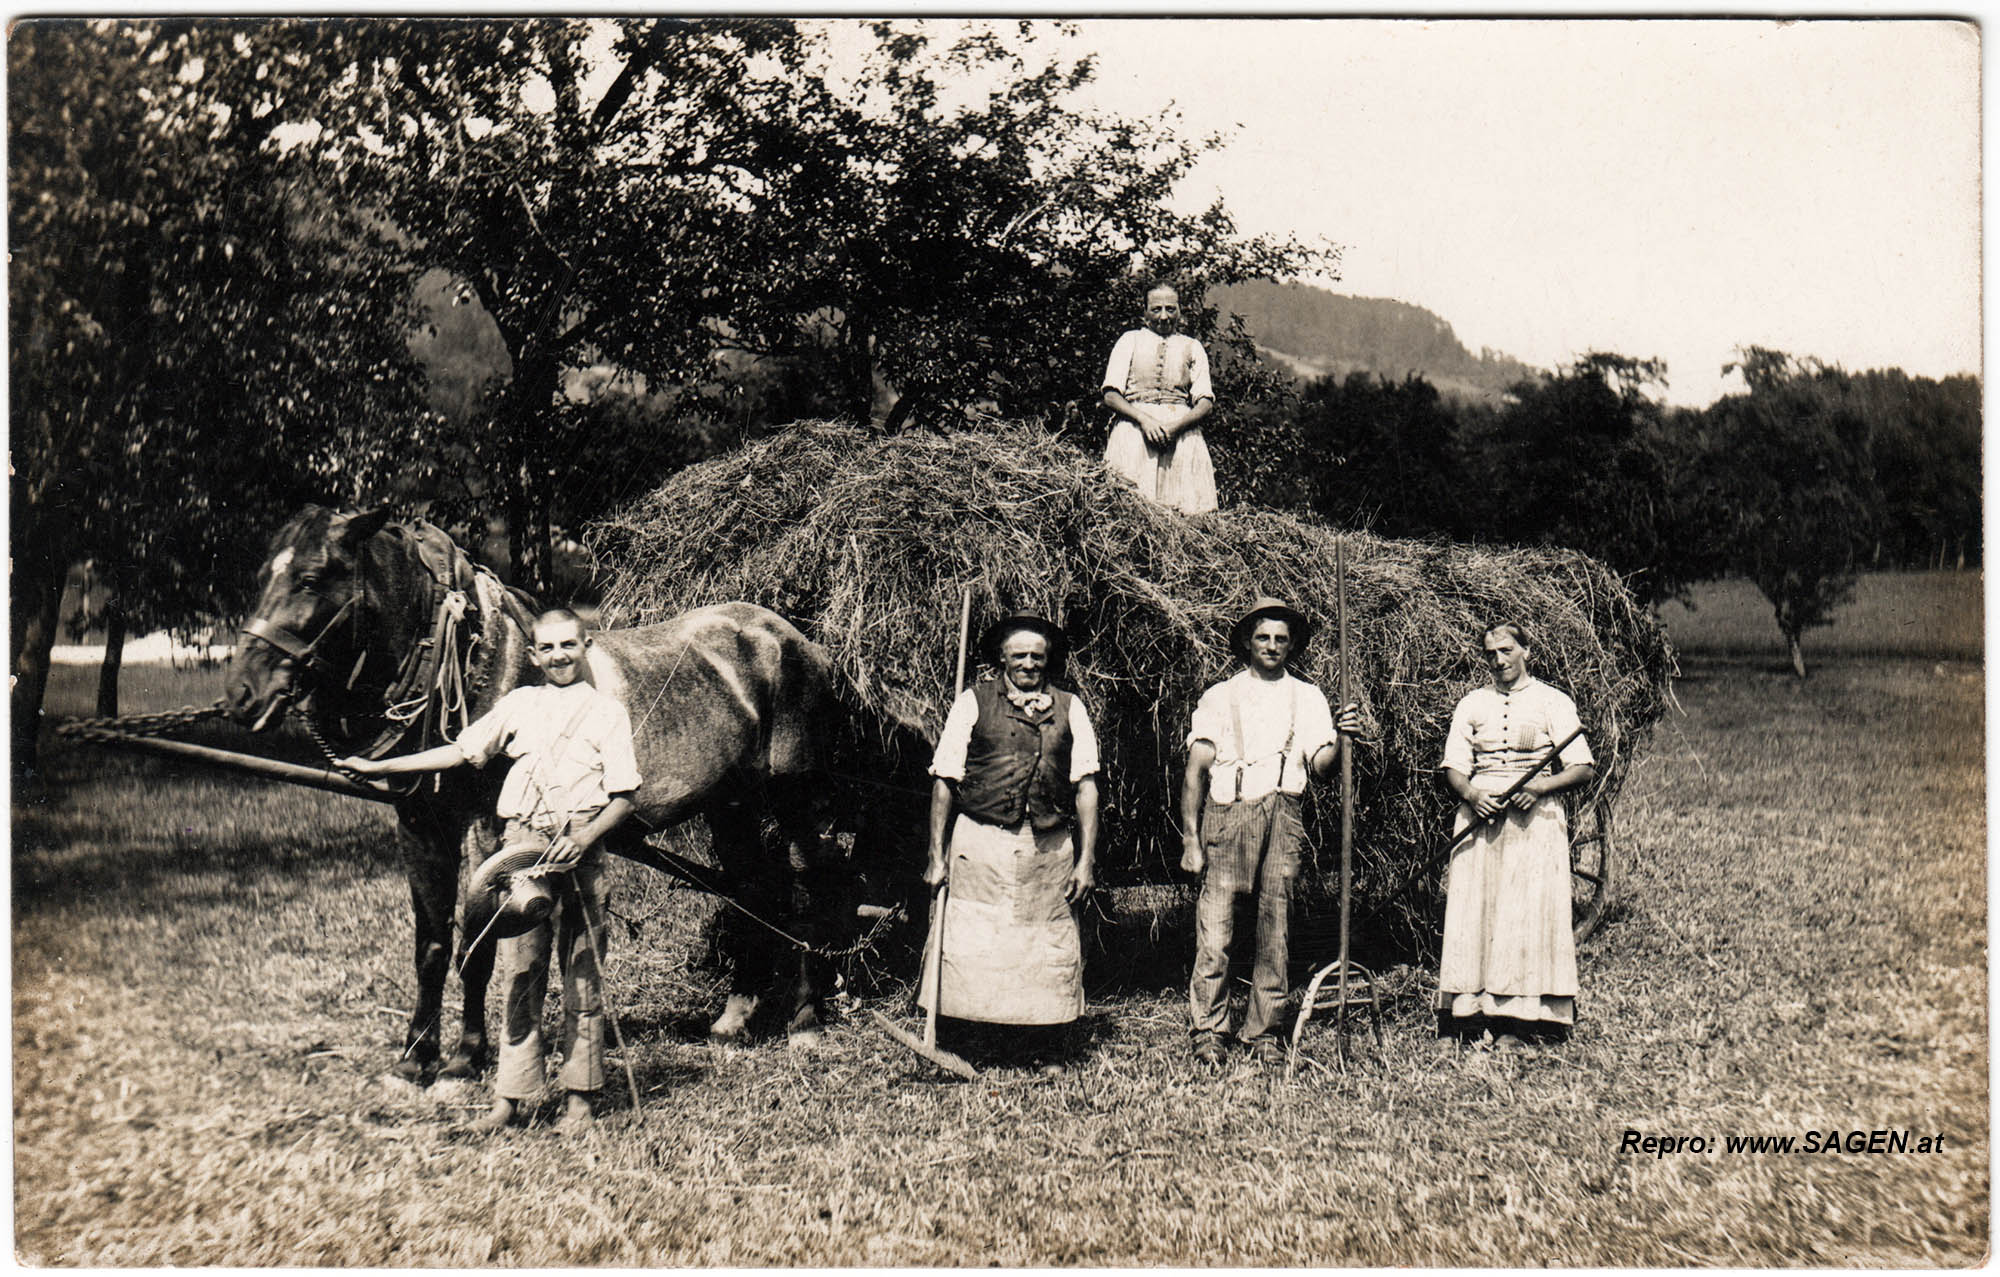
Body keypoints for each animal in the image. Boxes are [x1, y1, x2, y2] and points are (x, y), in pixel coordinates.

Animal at [227, 508, 852, 1080]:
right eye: (260, 575)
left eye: (310, 578)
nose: (242, 694)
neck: (476, 660)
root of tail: (798, 640)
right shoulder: (420, 825)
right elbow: (431, 946)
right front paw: (415, 1058)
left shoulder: (486, 825)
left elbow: (477, 942)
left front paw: (465, 1057)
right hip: (731, 806)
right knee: (756, 888)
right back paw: (734, 1017)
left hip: (793, 798)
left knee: (806, 887)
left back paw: (805, 1020)